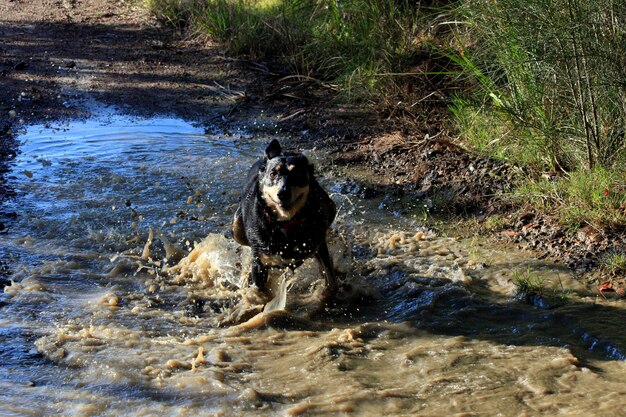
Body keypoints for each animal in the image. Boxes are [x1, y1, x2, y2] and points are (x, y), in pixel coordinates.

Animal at [230, 139, 336, 296]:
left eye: (297, 174)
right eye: (273, 174)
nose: (283, 193)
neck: (286, 222)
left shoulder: (319, 246)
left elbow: (331, 280)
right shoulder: (260, 263)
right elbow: (260, 291)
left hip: (330, 207)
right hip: (237, 225)